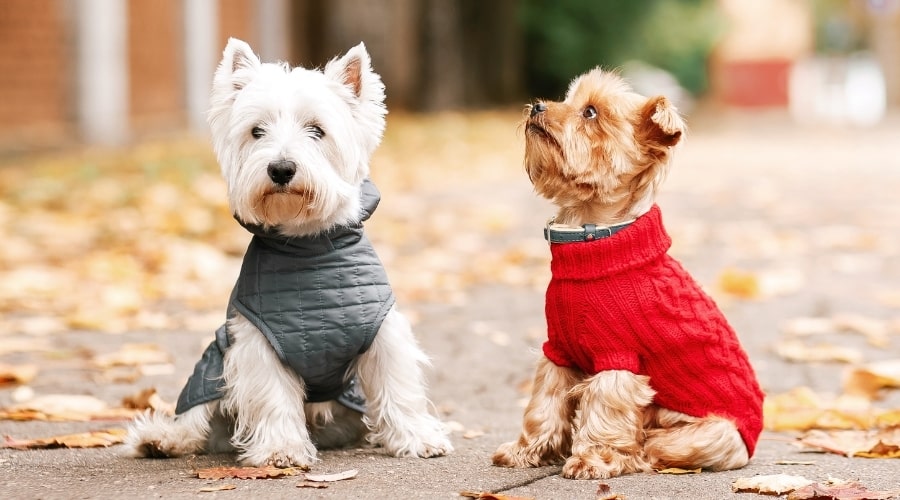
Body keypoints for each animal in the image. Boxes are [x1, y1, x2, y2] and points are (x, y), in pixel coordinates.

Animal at [126, 37, 450, 466]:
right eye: (256, 131)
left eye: (317, 130)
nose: (281, 169)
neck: (308, 248)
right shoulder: (258, 341)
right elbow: (273, 395)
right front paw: (282, 449)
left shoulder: (383, 331)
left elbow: (397, 385)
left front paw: (417, 438)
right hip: (213, 363)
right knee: (196, 417)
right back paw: (162, 439)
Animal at [496, 68, 764, 478]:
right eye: (567, 99)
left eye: (590, 112)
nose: (538, 105)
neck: (592, 239)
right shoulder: (558, 352)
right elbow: (544, 403)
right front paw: (526, 450)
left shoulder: (618, 359)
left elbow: (604, 411)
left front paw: (592, 459)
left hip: (711, 434)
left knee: (653, 445)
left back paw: (633, 455)